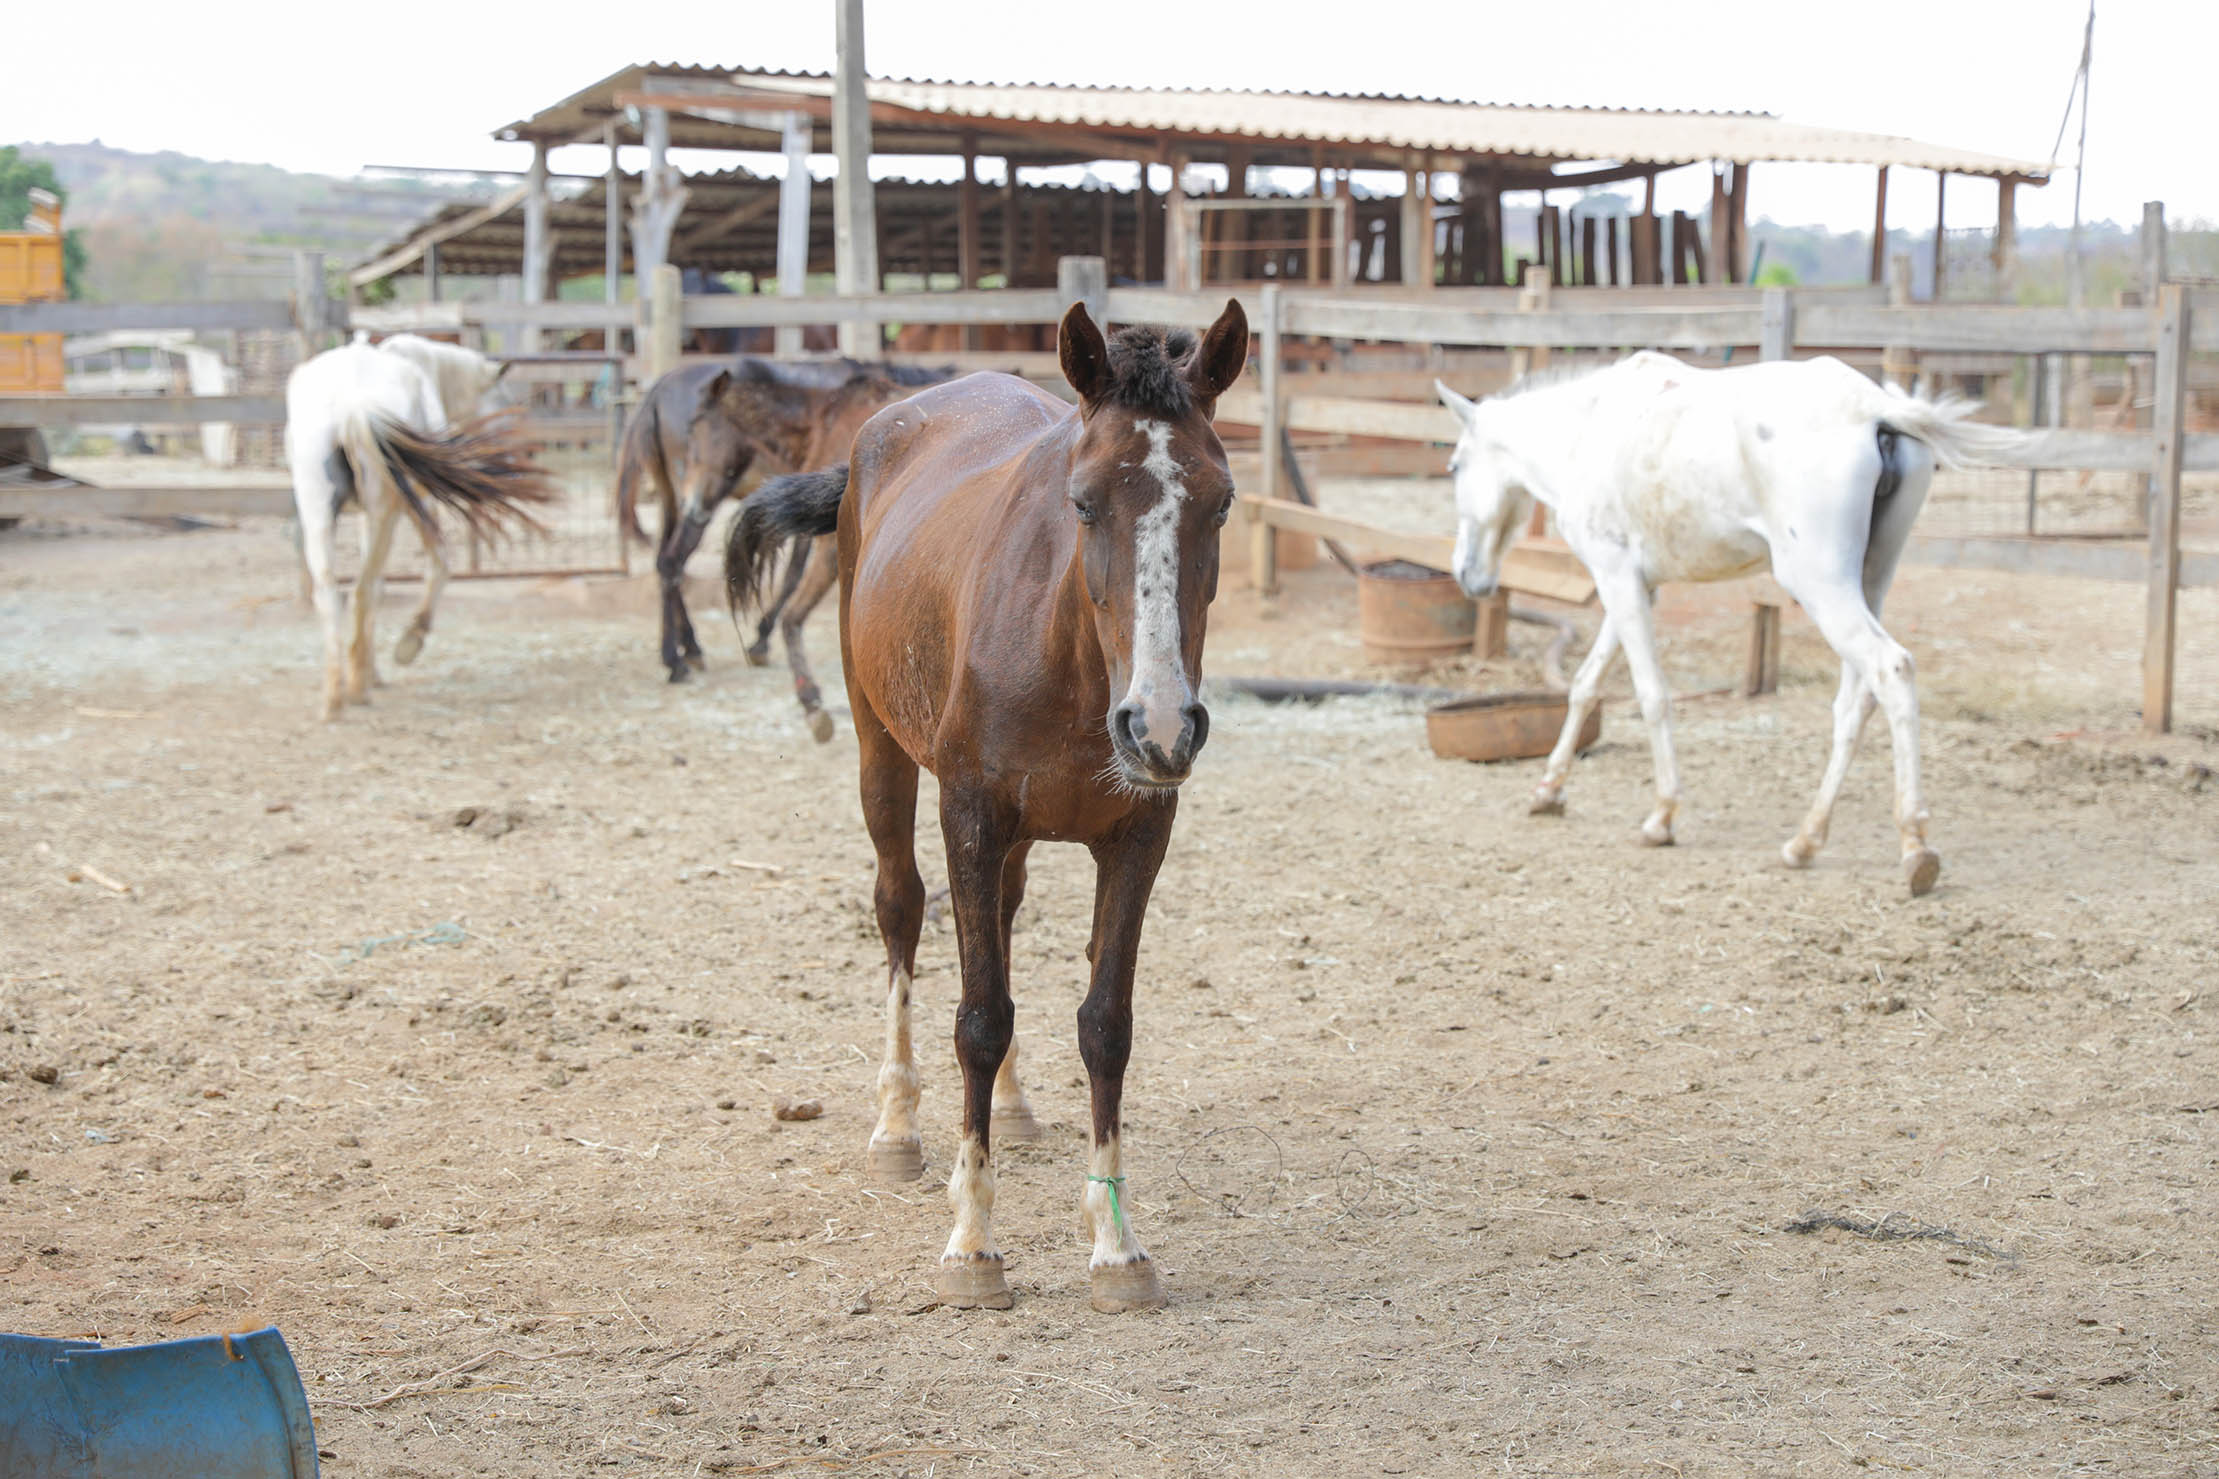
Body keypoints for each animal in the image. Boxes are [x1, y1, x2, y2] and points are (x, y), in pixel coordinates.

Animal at [286, 337, 550, 727]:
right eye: (503, 404)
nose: (518, 462)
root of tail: (351, 405)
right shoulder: (416, 503)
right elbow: (438, 567)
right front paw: (408, 642)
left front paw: (372, 669)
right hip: (384, 513)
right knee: (364, 589)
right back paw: (357, 689)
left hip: (318, 511)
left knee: (332, 592)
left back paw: (336, 697)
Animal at [612, 354, 949, 736]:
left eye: (697, 428)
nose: (692, 500)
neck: (824, 418)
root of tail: (658, 389)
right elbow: (792, 586)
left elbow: (791, 584)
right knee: (670, 562)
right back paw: (681, 656)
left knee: (669, 563)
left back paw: (681, 655)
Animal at [727, 297, 1251, 1303]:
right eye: (1082, 500)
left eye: (1221, 501)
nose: (1161, 725)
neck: (1070, 655)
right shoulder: (966, 815)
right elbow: (977, 1017)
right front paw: (972, 1241)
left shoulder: (1139, 833)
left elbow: (1104, 1024)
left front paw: (1115, 1244)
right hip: (881, 750)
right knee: (900, 910)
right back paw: (896, 1127)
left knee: (1001, 924)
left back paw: (1009, 1107)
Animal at [1437, 352, 2032, 895]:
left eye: (1455, 467)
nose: (1466, 575)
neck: (1586, 430)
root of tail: (1876, 411)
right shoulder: (1634, 584)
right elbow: (1585, 684)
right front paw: (1547, 791)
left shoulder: (1616, 576)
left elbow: (1651, 695)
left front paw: (1661, 819)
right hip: (1869, 580)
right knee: (1855, 701)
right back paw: (1805, 842)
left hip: (1821, 584)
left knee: (1891, 669)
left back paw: (1915, 849)